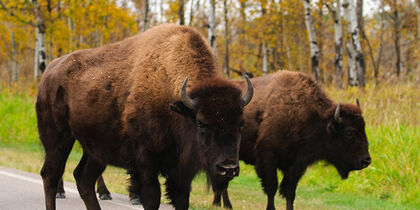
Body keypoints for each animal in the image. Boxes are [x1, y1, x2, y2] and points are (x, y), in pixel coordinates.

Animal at [35, 24, 253, 210]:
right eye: (201, 123)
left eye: (241, 123)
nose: (228, 168)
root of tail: (48, 72)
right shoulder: (145, 163)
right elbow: (151, 198)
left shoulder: (181, 173)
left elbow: (182, 200)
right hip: (58, 139)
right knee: (50, 175)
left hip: (95, 150)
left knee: (83, 178)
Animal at [212, 71, 370, 210]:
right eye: (349, 132)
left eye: (363, 128)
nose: (366, 161)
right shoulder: (268, 158)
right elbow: (272, 188)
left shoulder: (297, 164)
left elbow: (290, 192)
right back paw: (225, 204)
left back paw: (219, 203)